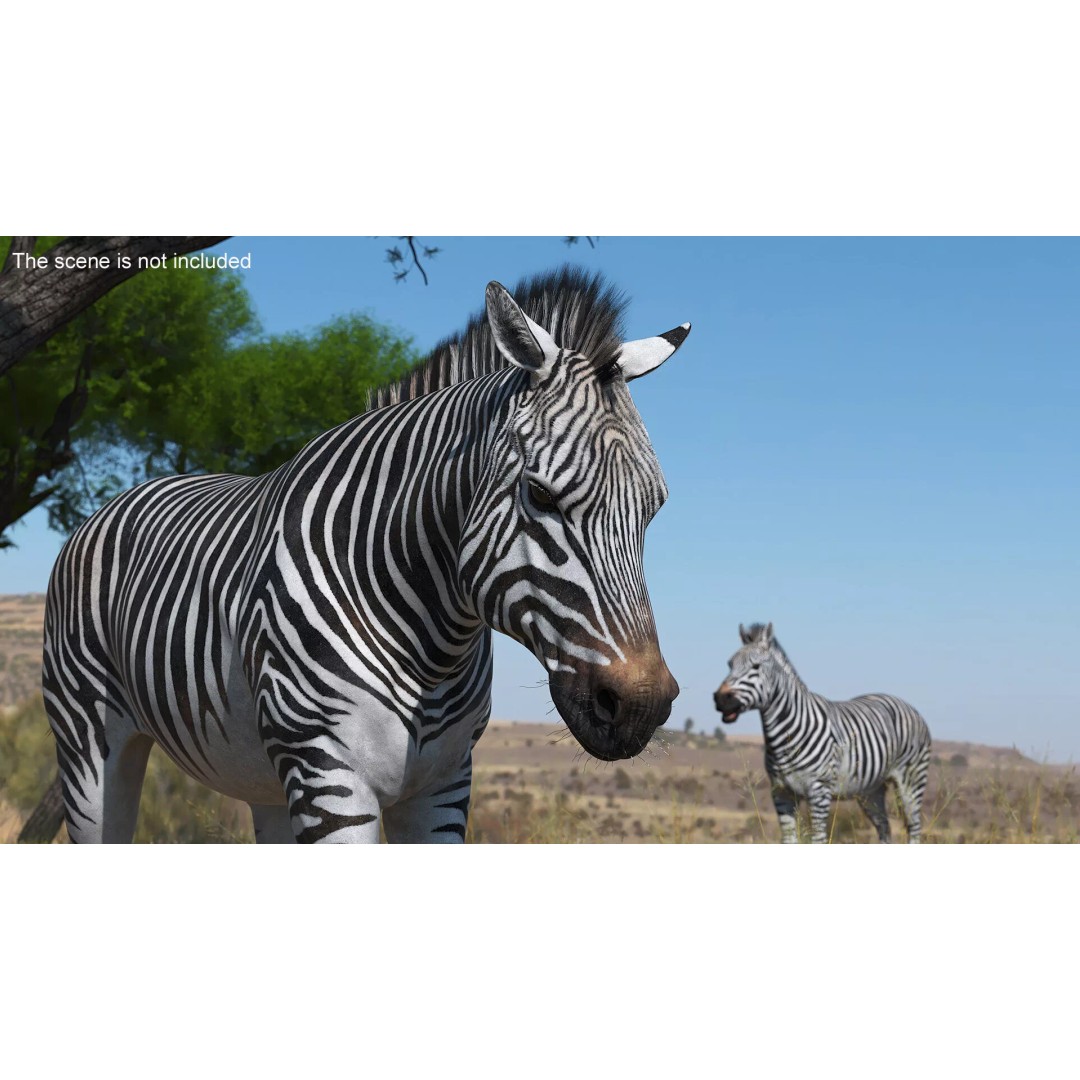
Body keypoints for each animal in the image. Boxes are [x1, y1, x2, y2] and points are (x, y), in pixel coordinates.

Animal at [41, 267, 690, 843]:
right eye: (540, 494)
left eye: (653, 511)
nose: (641, 706)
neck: (432, 643)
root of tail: (123, 496)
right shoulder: (329, 776)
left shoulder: (443, 785)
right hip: (89, 744)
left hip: (263, 778)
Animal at [713, 623, 931, 843]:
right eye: (729, 665)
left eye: (756, 667)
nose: (719, 699)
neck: (784, 737)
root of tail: (906, 703)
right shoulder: (781, 793)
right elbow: (789, 839)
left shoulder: (819, 792)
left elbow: (818, 839)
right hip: (871, 790)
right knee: (884, 827)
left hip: (911, 781)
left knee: (914, 827)